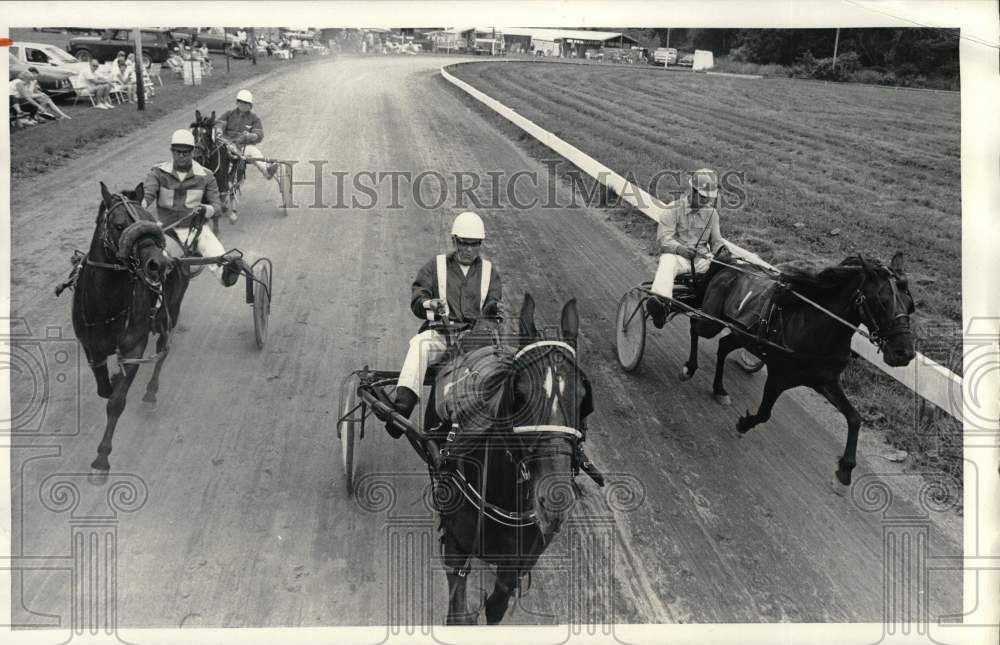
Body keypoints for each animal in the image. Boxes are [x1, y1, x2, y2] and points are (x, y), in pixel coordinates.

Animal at [71, 181, 192, 472]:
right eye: (118, 225)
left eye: (149, 219)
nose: (160, 264)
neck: (105, 305)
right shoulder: (90, 346)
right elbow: (104, 389)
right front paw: (113, 379)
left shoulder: (134, 347)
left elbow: (116, 403)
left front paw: (102, 458)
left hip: (170, 312)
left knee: (163, 349)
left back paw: (151, 392)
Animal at [430, 294, 592, 624]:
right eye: (519, 392)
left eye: (584, 397)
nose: (554, 501)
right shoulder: (456, 548)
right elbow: (457, 611)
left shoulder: (518, 563)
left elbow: (497, 605)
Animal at [680, 252, 916, 484]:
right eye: (883, 302)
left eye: (909, 305)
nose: (905, 353)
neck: (814, 329)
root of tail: (730, 264)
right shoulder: (778, 378)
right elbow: (764, 414)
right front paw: (744, 423)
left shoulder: (825, 381)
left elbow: (855, 418)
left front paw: (846, 467)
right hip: (712, 322)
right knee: (694, 326)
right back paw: (690, 367)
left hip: (743, 335)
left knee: (723, 346)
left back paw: (719, 388)